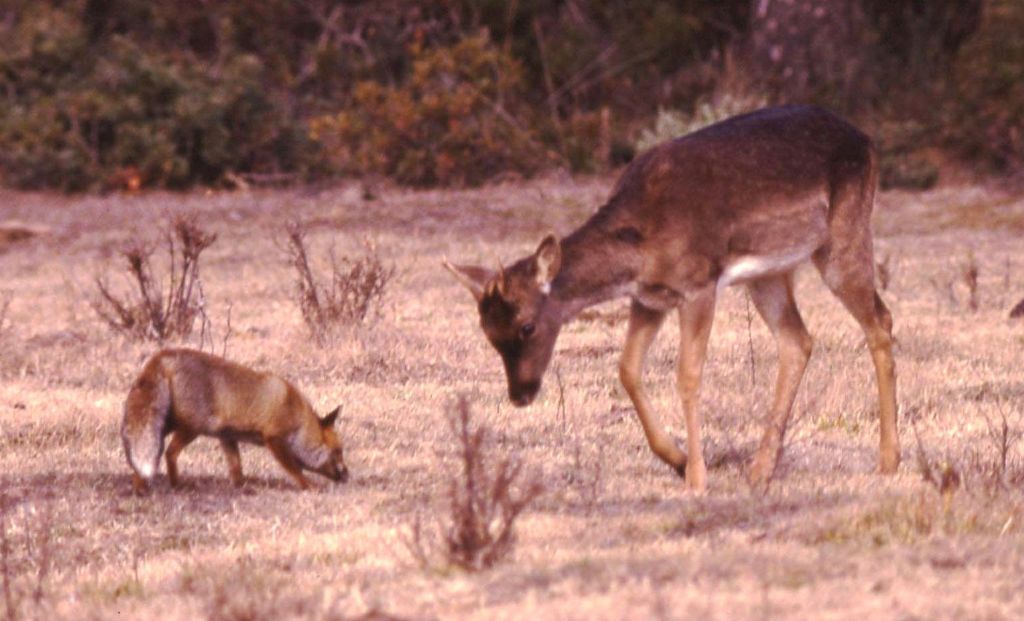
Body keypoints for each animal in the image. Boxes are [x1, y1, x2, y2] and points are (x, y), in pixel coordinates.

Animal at [120, 348, 348, 493]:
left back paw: (140, 488)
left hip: (161, 426)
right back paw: (177, 485)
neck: (297, 418)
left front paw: (242, 487)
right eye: (338, 452)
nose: (347, 476)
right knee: (169, 453)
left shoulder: (227, 436)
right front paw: (308, 486)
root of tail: (162, 354)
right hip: (190, 428)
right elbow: (295, 470)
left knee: (140, 457)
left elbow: (236, 468)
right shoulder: (274, 438)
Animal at [444, 104, 901, 491]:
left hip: (843, 235)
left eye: (528, 325)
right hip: (768, 273)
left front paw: (696, 477)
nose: (520, 394)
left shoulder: (698, 284)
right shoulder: (648, 299)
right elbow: (627, 369)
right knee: (797, 340)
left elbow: (688, 375)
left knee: (880, 320)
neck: (642, 249)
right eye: (487, 332)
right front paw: (677, 461)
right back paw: (760, 470)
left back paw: (888, 459)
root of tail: (866, 140)